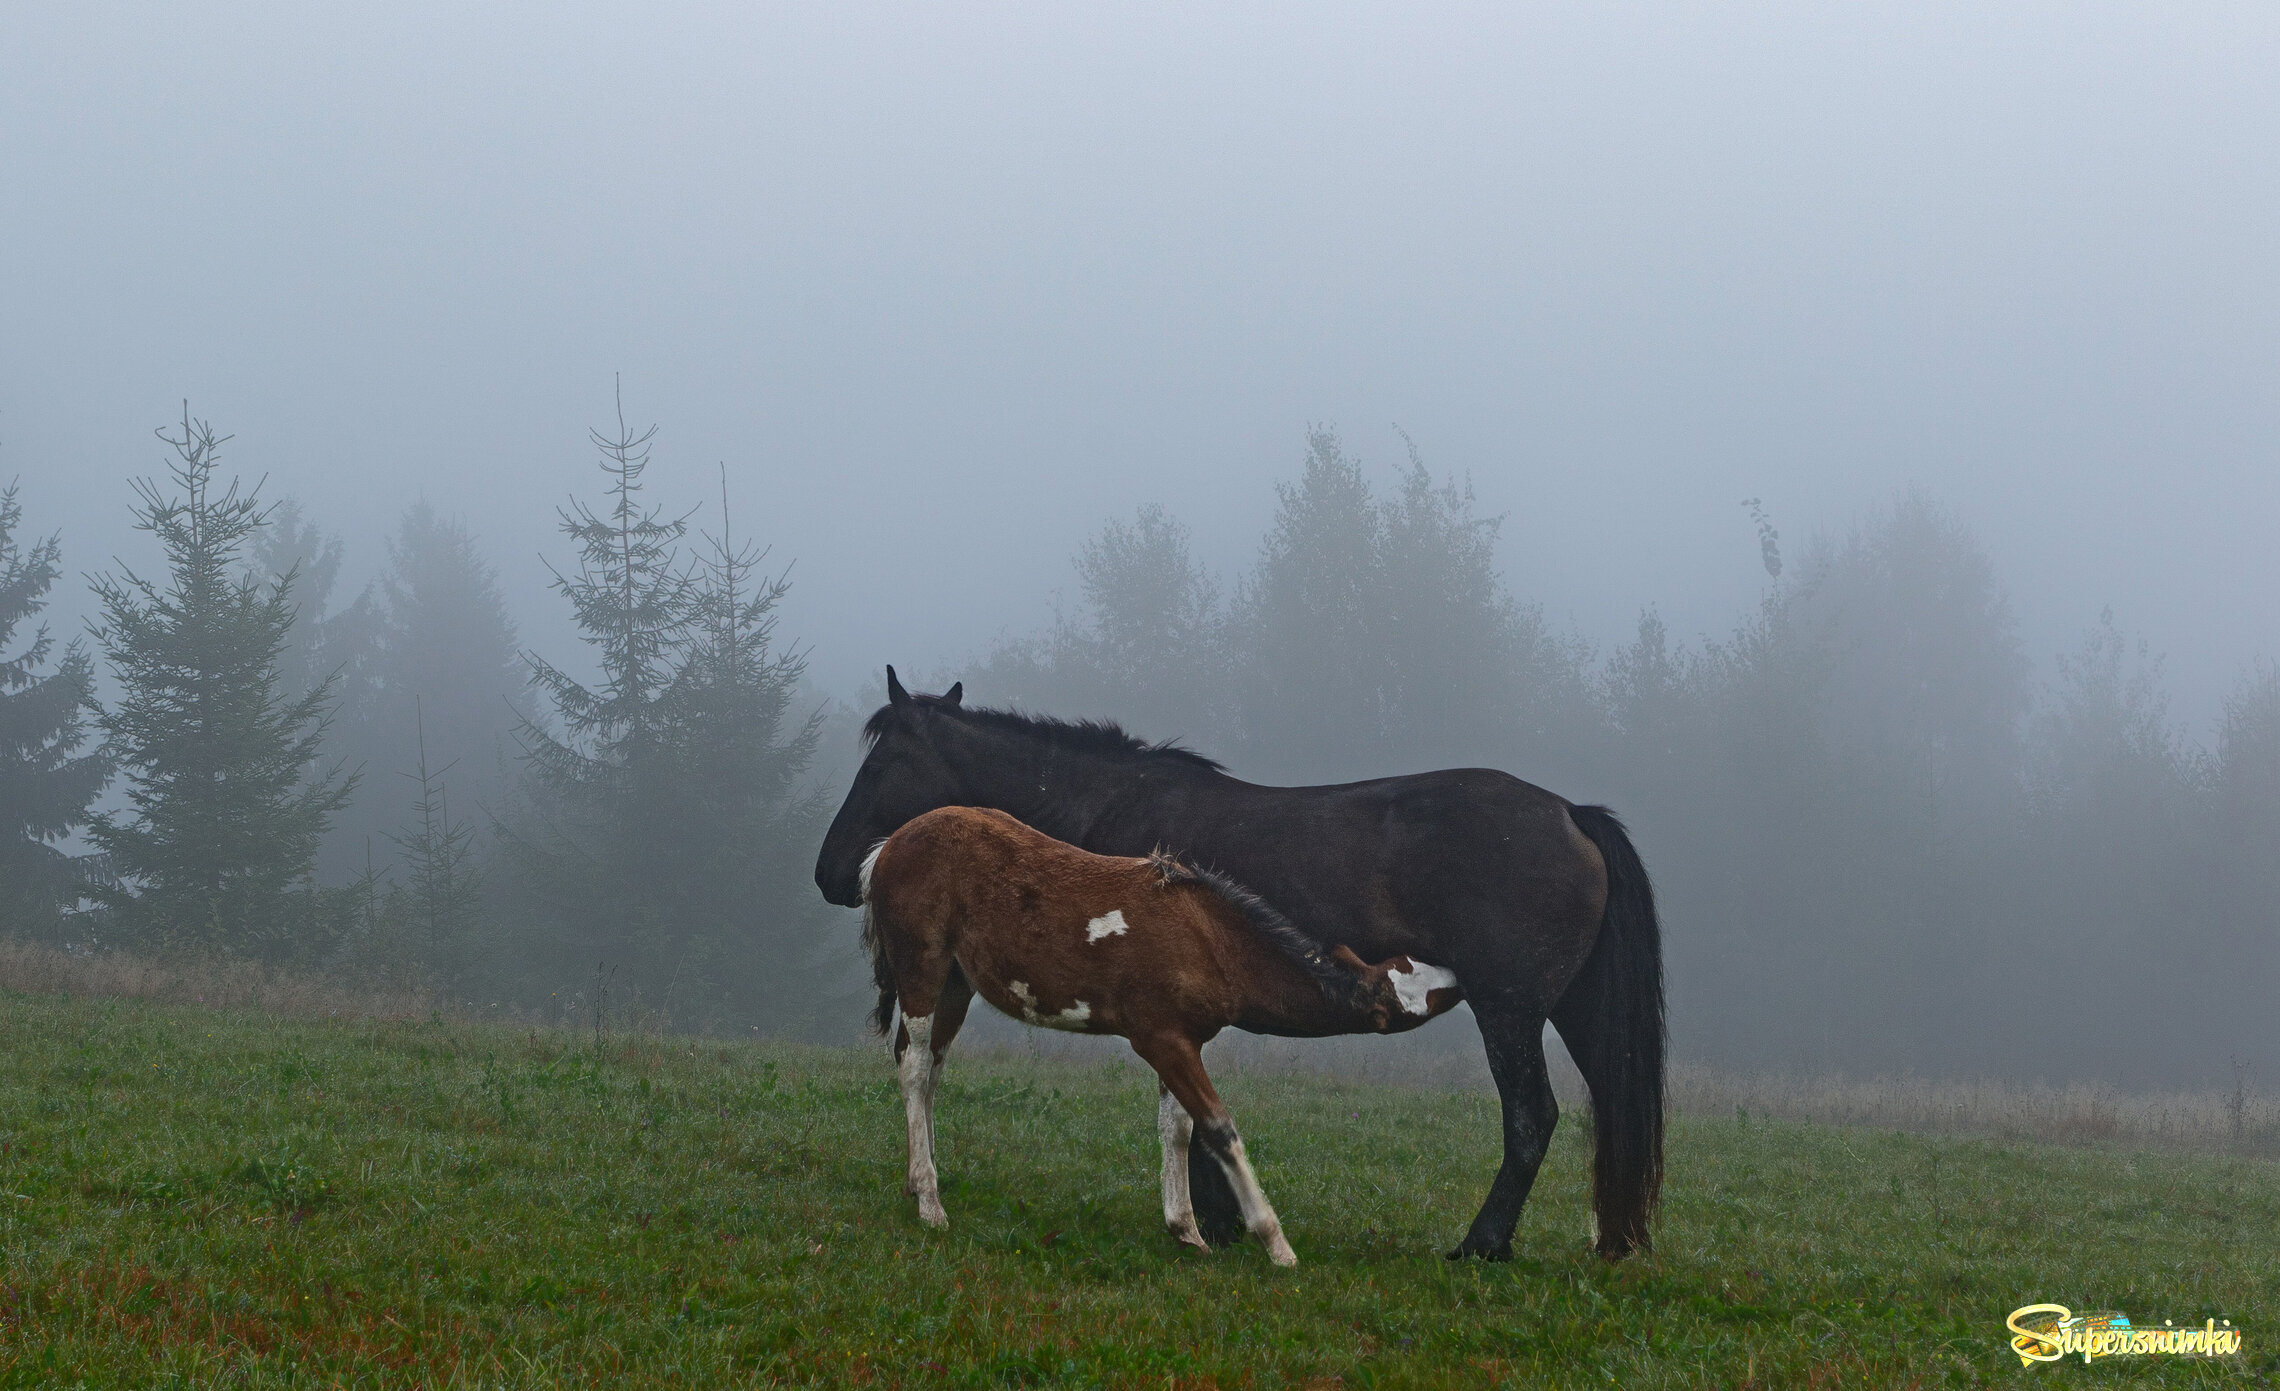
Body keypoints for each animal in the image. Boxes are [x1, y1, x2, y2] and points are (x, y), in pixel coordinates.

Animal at [857, 798, 1459, 1258]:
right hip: (923, 971)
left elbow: (1178, 1128)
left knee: (931, 1070)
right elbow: (1218, 1127)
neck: (1210, 941)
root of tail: (886, 848)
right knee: (914, 1067)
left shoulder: (1181, 1041)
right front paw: (1275, 1243)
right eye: (1415, 995)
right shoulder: (1159, 1041)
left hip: (956, 985)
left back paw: (919, 1179)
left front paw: (1186, 1231)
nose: (1460, 977)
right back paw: (931, 1203)